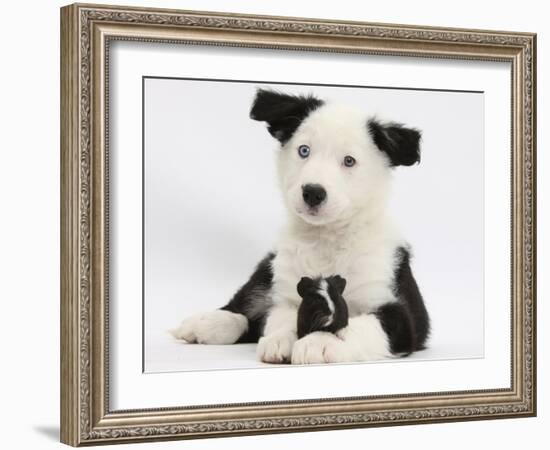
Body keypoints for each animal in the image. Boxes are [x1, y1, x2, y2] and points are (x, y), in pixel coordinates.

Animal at [172, 89, 432, 364]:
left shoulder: (398, 312)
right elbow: (281, 317)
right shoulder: (287, 292)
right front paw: (279, 340)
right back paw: (205, 323)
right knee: (249, 307)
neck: (326, 238)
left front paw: (319, 342)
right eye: (304, 150)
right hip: (269, 266)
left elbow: (357, 325)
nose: (313, 192)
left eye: (349, 161)